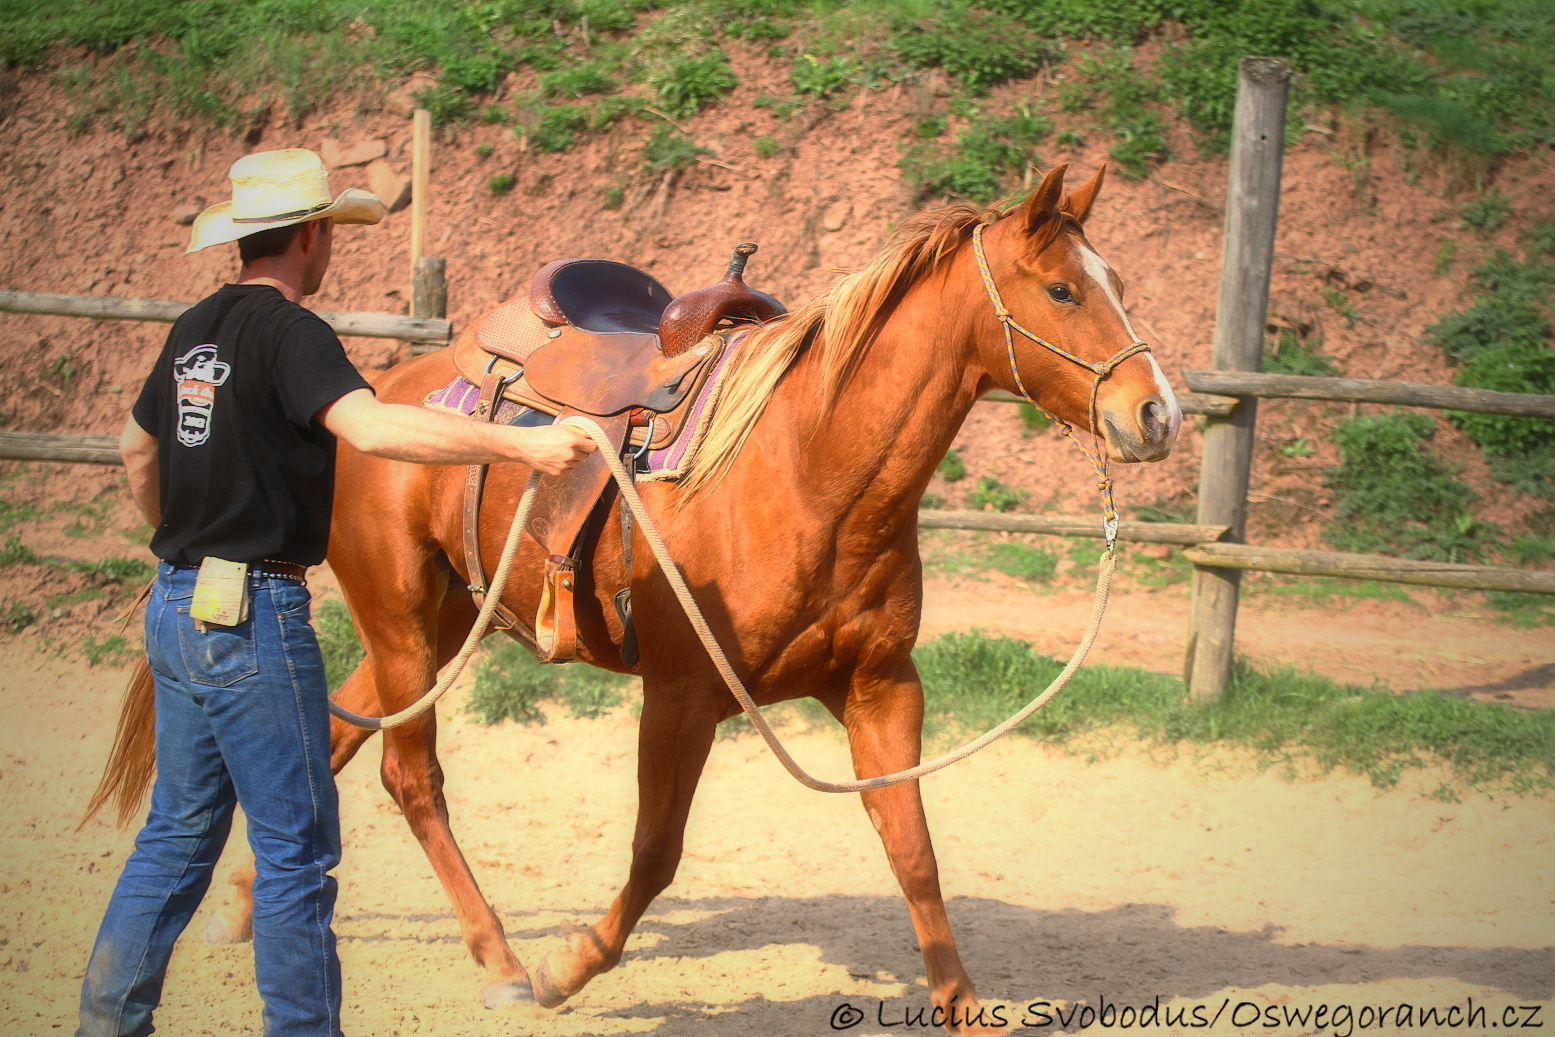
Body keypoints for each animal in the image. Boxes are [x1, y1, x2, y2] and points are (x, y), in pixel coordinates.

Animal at [106, 164, 1175, 1032]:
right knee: (410, 777)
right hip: (403, 622)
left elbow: (912, 851)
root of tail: (376, 386)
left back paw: (242, 909)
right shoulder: (682, 695)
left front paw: (964, 1008)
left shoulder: (880, 688)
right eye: (1061, 288)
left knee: (334, 734)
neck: (804, 467)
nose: (1156, 412)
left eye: (1118, 285)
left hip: (435, 623)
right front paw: (569, 965)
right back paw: (499, 958)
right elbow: (656, 851)